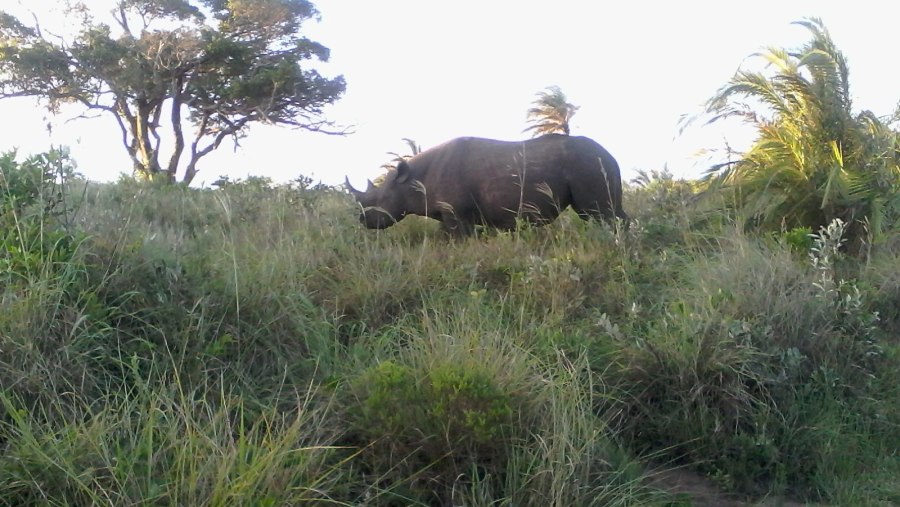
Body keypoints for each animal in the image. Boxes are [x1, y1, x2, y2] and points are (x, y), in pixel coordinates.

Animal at [344, 134, 624, 235]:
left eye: (378, 201)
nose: (362, 221)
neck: (412, 180)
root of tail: (611, 154)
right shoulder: (449, 213)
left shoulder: (456, 212)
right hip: (594, 162)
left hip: (588, 163)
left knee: (599, 213)